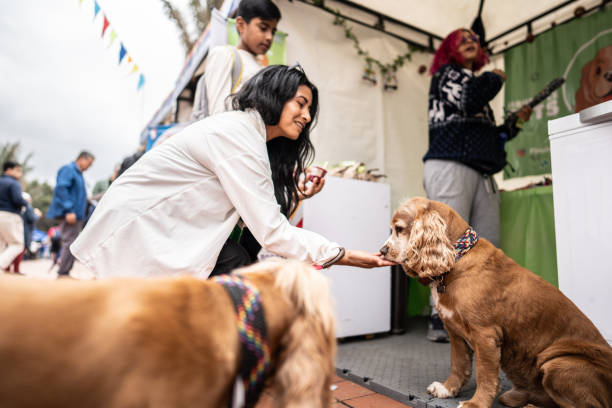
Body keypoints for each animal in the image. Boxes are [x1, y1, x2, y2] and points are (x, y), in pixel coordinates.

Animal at [380, 197, 608, 404]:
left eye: (399, 229)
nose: (382, 250)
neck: (457, 258)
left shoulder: (486, 335)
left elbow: (485, 375)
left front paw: (476, 403)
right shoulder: (455, 332)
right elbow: (458, 364)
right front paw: (447, 388)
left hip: (557, 363)